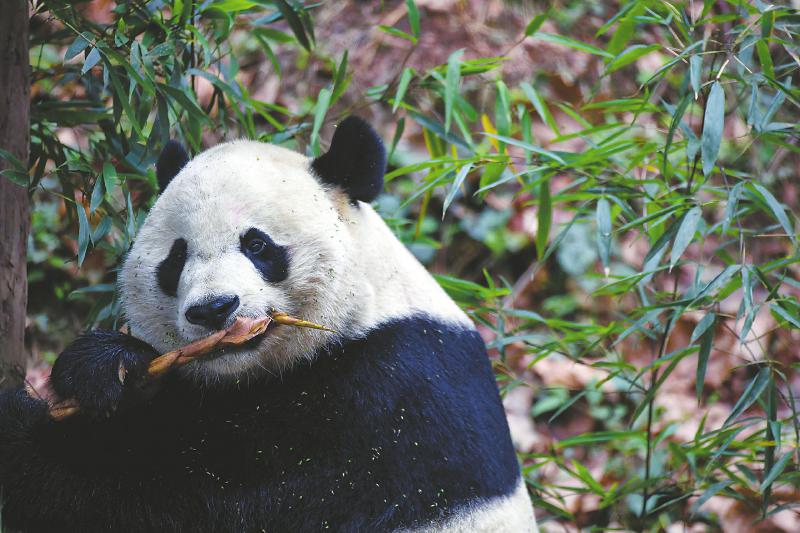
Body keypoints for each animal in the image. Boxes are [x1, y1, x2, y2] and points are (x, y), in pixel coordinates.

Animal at [1, 117, 536, 532]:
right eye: (176, 258)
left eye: (257, 245)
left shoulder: (384, 407)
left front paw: (21, 434)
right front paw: (105, 369)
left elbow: (192, 503)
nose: (213, 309)